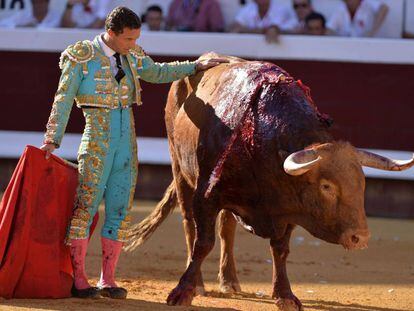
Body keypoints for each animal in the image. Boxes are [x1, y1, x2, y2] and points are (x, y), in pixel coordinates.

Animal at [125, 54, 414, 310]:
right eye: (326, 186)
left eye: (361, 183)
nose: (360, 237)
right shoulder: (206, 196)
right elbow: (203, 242)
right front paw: (182, 292)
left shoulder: (288, 208)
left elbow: (280, 249)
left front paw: (285, 295)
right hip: (181, 171)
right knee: (189, 225)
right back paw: (199, 284)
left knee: (227, 228)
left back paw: (229, 281)